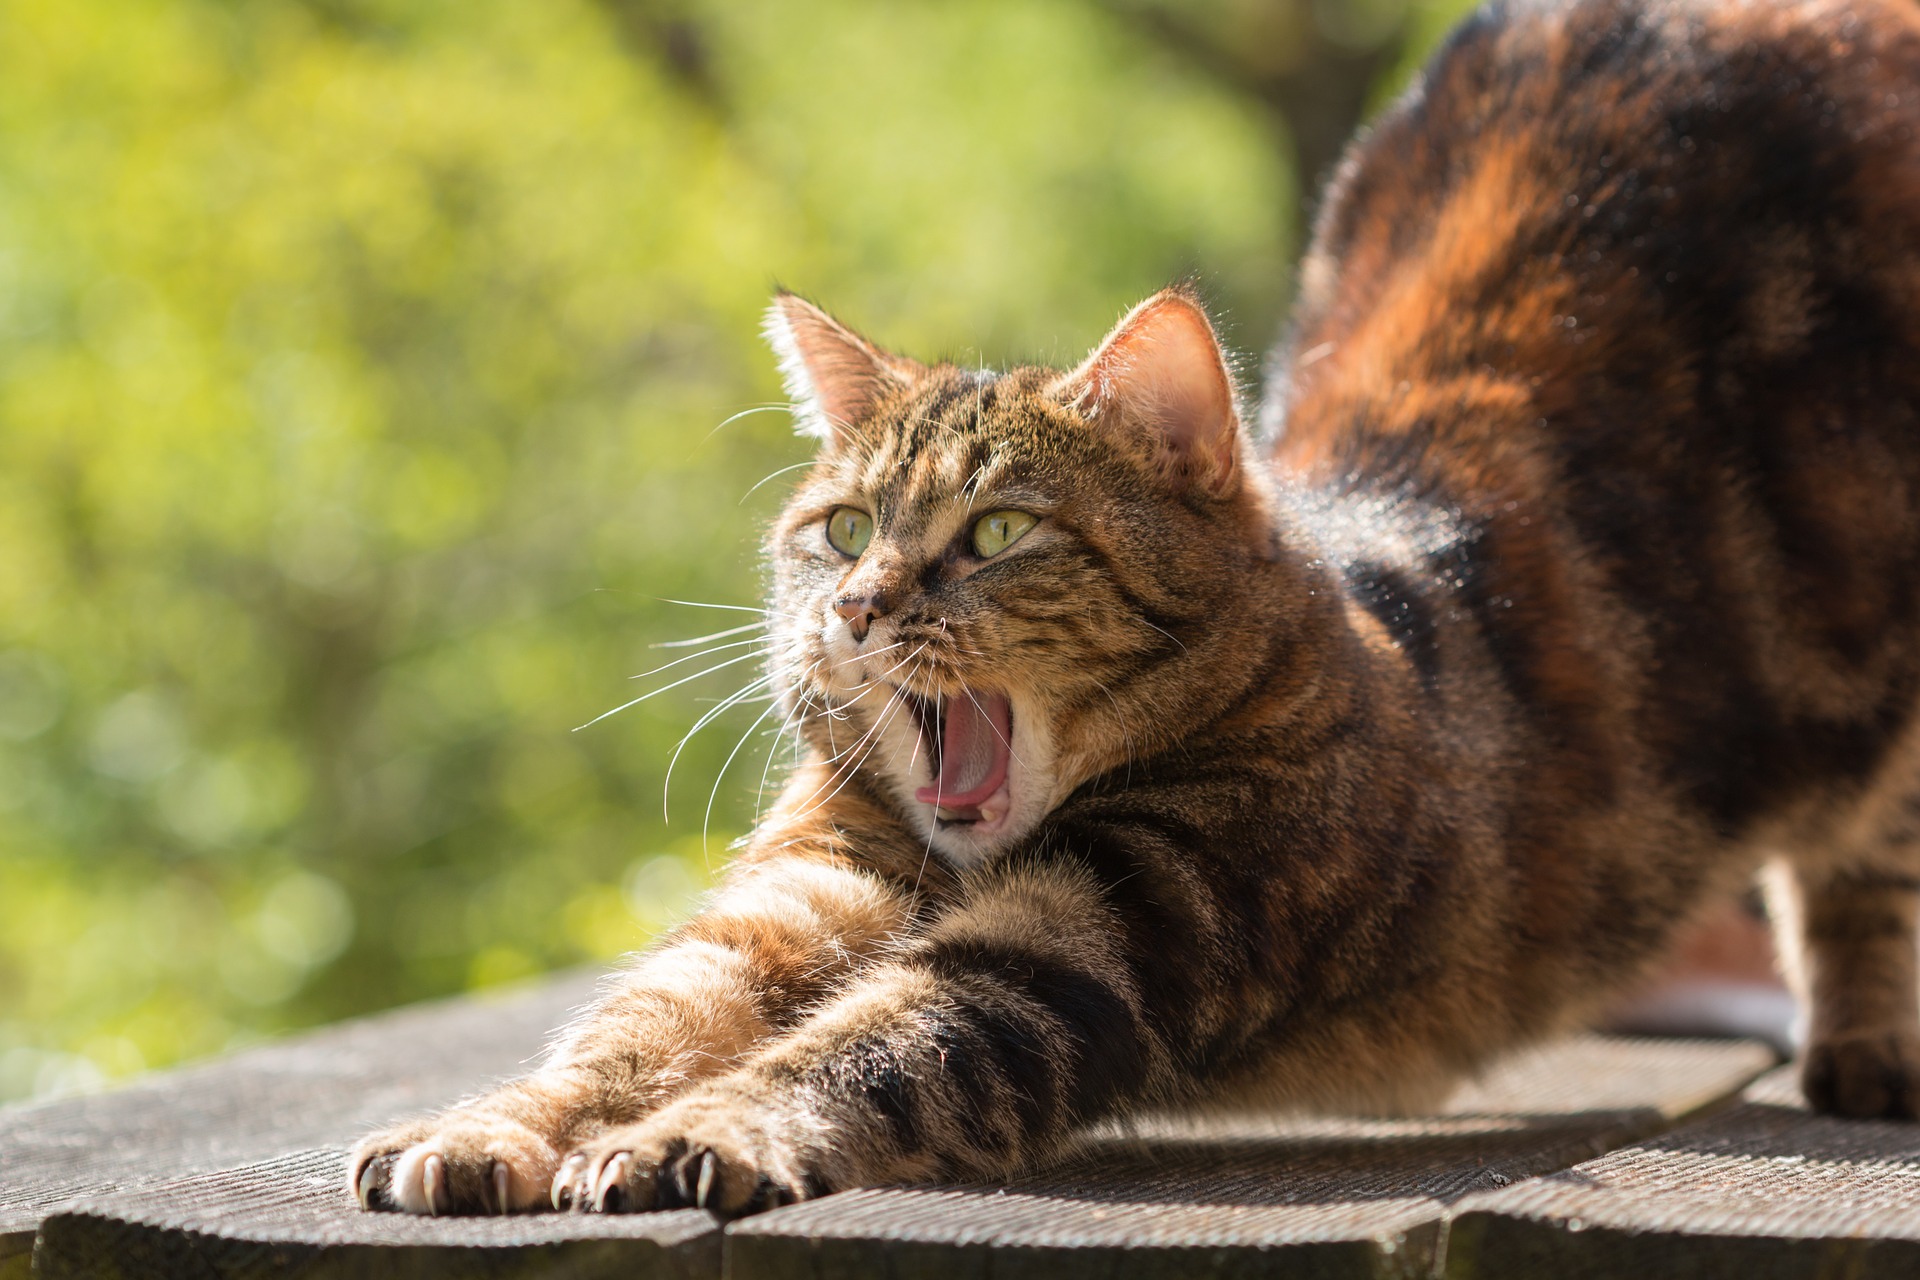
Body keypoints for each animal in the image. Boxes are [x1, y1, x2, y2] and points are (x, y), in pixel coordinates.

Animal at [349, 0, 1920, 1220]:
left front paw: (694, 1130)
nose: (853, 608)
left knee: (1864, 871)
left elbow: (870, 1040)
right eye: (842, 528)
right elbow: (643, 1016)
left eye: (995, 531)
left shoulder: (1109, 929)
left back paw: (1867, 1047)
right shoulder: (809, 884)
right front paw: (487, 1128)